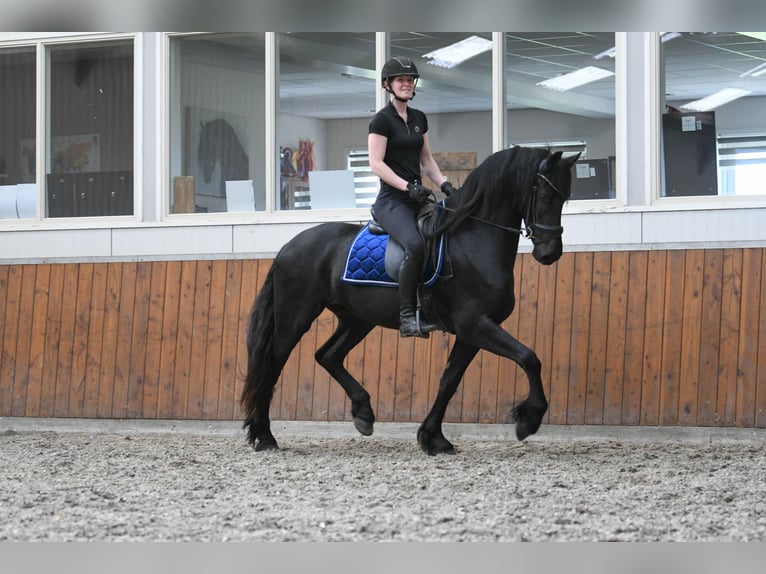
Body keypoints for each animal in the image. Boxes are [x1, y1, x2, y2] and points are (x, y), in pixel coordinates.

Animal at [241, 146, 580, 455]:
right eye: (545, 196)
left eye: (565, 197)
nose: (549, 254)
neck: (473, 238)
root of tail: (288, 246)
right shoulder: (475, 325)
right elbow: (529, 358)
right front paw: (528, 420)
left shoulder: (473, 332)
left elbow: (449, 381)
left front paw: (434, 438)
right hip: (294, 318)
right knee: (272, 365)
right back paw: (264, 436)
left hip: (356, 320)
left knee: (327, 355)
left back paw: (363, 414)